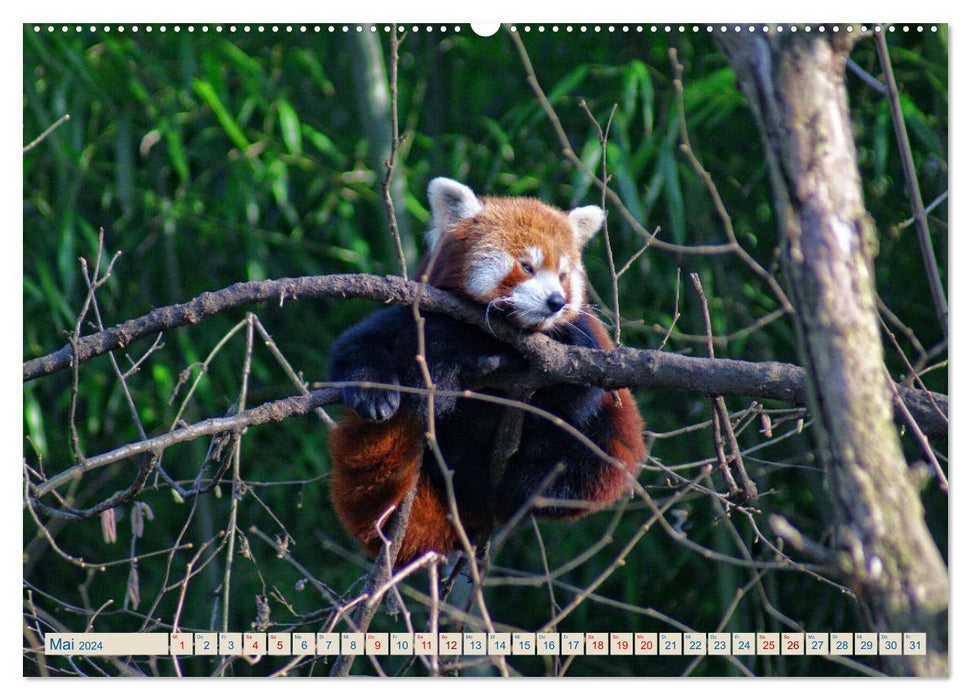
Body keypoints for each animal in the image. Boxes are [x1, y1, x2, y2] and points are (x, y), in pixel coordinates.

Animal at [328, 178, 644, 568]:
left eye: (563, 275)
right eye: (527, 266)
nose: (556, 301)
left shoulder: (582, 341)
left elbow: (577, 394)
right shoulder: (418, 314)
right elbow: (356, 346)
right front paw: (375, 393)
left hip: (613, 442)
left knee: (590, 458)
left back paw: (527, 483)